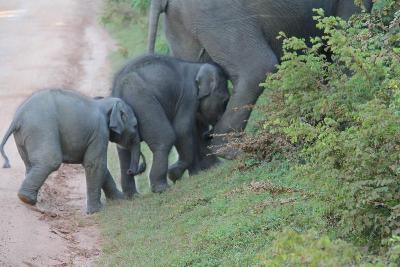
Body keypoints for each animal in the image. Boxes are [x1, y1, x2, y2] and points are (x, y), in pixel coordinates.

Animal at [0, 89, 145, 215]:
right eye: (135, 126)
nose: (131, 171)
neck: (105, 102)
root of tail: (17, 118)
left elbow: (97, 166)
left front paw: (120, 199)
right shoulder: (99, 132)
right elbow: (96, 164)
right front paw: (96, 211)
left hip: (23, 137)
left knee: (31, 164)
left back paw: (30, 199)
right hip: (40, 129)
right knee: (50, 161)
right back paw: (26, 198)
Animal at [111, 55, 230, 197]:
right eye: (225, 100)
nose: (209, 135)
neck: (196, 66)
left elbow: (194, 128)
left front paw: (196, 173)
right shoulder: (189, 95)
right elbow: (182, 130)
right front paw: (174, 174)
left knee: (124, 150)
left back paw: (133, 196)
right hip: (143, 101)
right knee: (165, 138)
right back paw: (161, 188)